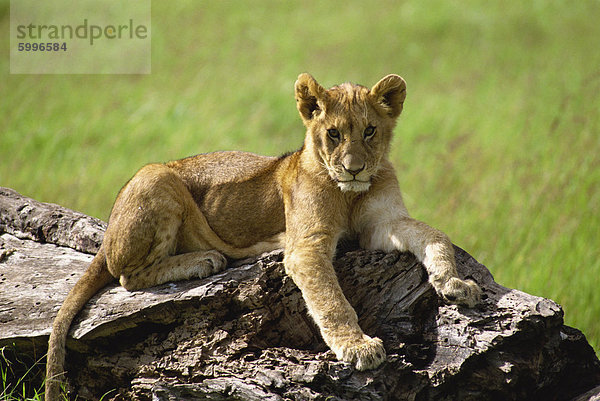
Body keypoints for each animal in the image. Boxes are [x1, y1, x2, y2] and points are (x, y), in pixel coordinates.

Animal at [44, 73, 480, 398]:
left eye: (370, 131)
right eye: (334, 134)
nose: (355, 168)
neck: (350, 193)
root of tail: (108, 236)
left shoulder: (382, 224)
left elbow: (434, 235)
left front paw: (455, 283)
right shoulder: (306, 245)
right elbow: (331, 300)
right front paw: (358, 346)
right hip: (157, 176)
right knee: (127, 276)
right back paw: (202, 260)